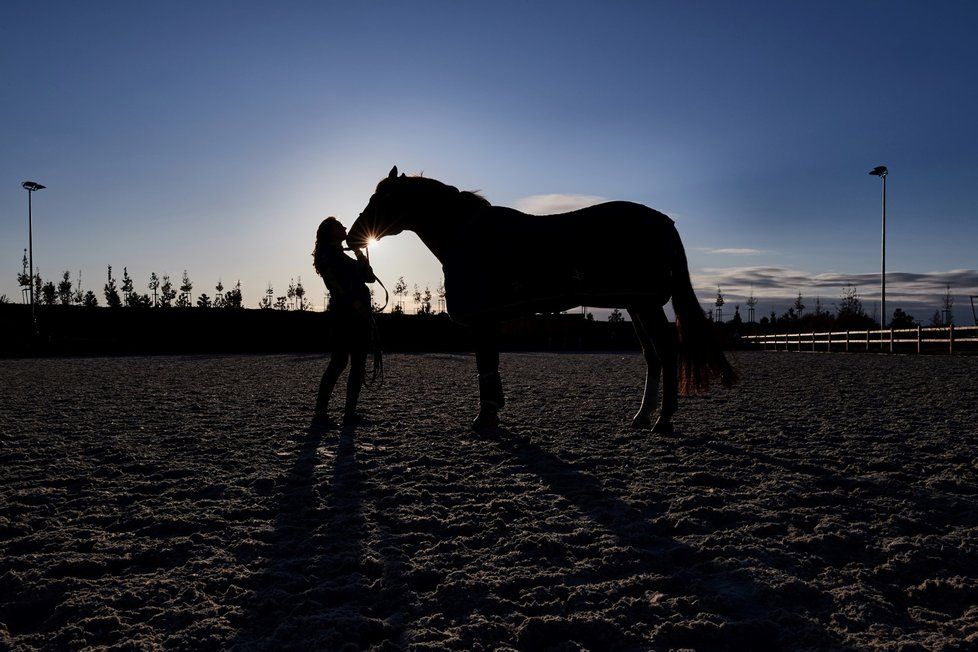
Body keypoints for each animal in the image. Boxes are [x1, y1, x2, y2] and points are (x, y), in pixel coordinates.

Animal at [346, 168, 736, 432]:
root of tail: (664, 222)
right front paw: (491, 413)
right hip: (637, 304)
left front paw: (484, 418)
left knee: (667, 352)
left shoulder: (483, 319)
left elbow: (485, 365)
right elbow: (489, 366)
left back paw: (663, 421)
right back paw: (641, 417)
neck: (466, 236)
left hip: (648, 304)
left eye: (383, 199)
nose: (352, 236)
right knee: (652, 356)